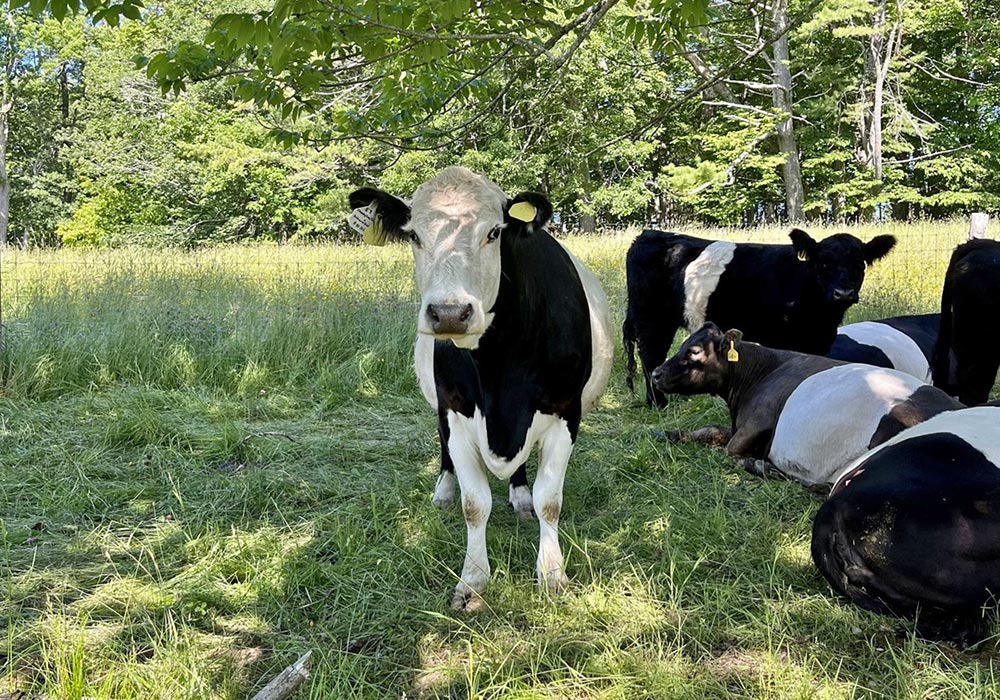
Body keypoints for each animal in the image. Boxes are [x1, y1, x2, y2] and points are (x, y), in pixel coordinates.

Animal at [352, 165, 616, 608]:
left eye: (494, 232)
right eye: (413, 235)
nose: (449, 313)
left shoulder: (566, 412)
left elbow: (550, 501)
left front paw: (551, 574)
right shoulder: (456, 409)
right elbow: (474, 504)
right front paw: (473, 580)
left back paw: (520, 495)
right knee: (442, 447)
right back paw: (444, 489)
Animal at [624, 227, 900, 408]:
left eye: (859, 263)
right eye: (823, 262)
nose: (843, 293)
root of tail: (649, 233)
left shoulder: (818, 340)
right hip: (651, 317)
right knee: (651, 356)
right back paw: (657, 402)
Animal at [648, 322, 960, 486]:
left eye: (694, 351)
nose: (655, 373)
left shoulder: (756, 423)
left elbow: (728, 451)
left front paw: (759, 463)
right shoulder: (740, 426)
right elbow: (710, 430)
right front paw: (665, 432)